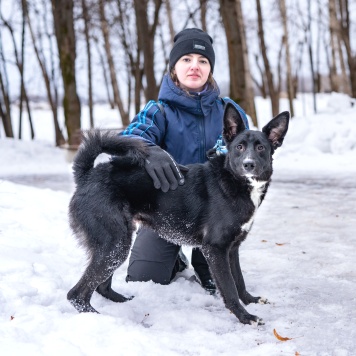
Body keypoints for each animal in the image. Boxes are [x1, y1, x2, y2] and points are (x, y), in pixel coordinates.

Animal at [67, 103, 290, 326]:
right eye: (239, 147)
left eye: (261, 148)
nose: (248, 164)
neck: (236, 182)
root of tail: (87, 175)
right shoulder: (215, 248)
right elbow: (229, 288)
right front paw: (245, 316)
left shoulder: (232, 248)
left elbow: (239, 281)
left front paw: (250, 300)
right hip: (115, 245)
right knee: (76, 294)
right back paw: (98, 318)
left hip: (115, 245)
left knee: (101, 287)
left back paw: (122, 302)